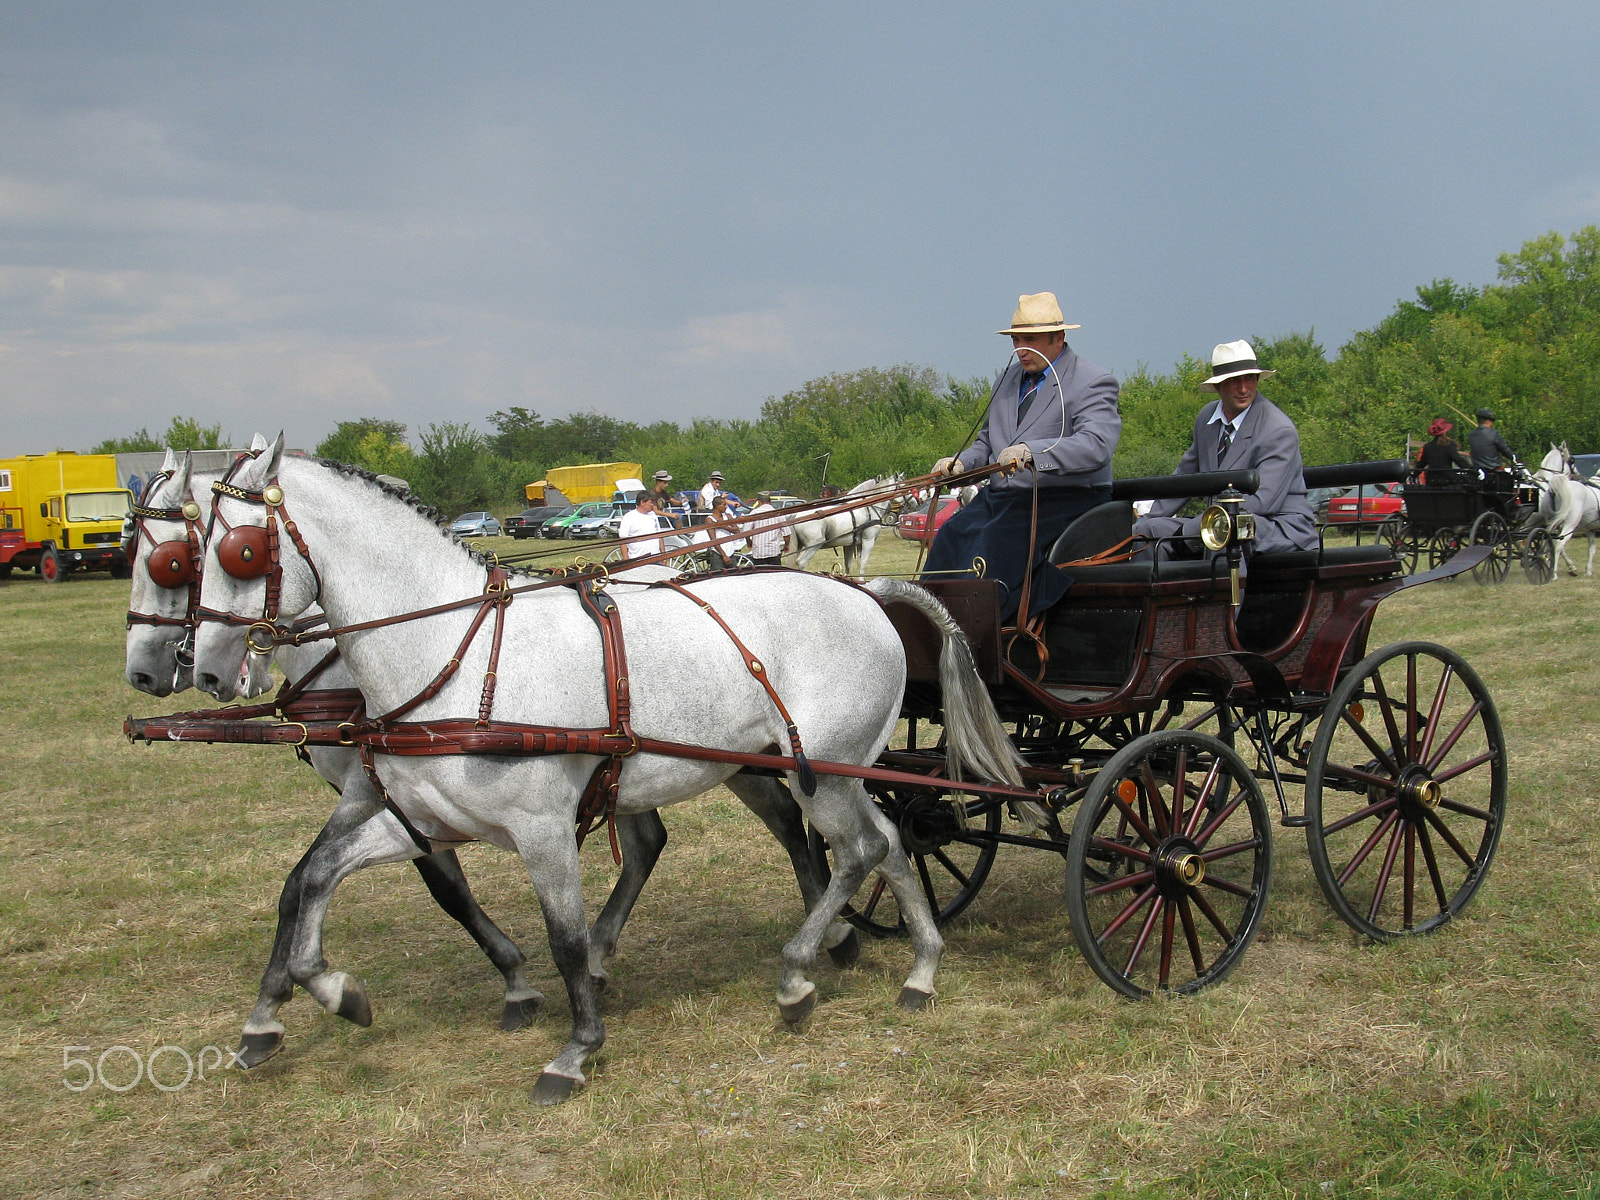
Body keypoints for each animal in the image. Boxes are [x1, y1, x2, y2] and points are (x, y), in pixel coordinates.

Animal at [187, 438, 1011, 1107]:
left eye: (237, 553)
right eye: (186, 552)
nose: (206, 669)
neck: (457, 657)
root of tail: (866, 596)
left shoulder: (542, 827)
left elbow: (566, 939)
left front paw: (575, 1051)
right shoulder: (422, 817)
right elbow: (318, 875)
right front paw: (326, 993)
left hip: (822, 773)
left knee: (861, 848)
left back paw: (797, 973)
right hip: (830, 774)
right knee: (890, 842)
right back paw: (920, 968)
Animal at [1529, 444, 1600, 579]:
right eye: (1572, 460)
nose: (1577, 473)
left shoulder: (1590, 529)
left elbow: (1591, 549)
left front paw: (1588, 570)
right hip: (1569, 524)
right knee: (1558, 545)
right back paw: (1554, 574)